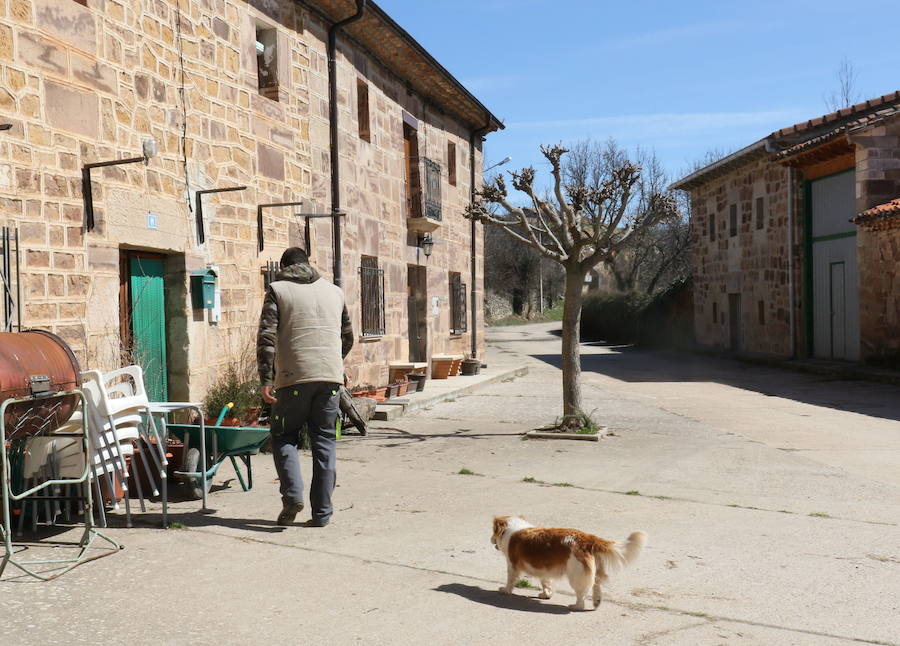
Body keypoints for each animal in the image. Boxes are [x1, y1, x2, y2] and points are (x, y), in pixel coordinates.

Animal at [488, 516, 644, 612]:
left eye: (493, 531)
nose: (490, 539)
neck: (512, 529)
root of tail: (589, 538)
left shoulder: (512, 564)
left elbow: (510, 579)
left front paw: (505, 590)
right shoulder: (545, 569)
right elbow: (546, 582)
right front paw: (546, 594)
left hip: (576, 575)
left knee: (582, 595)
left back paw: (575, 606)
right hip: (595, 571)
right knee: (596, 585)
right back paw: (596, 602)